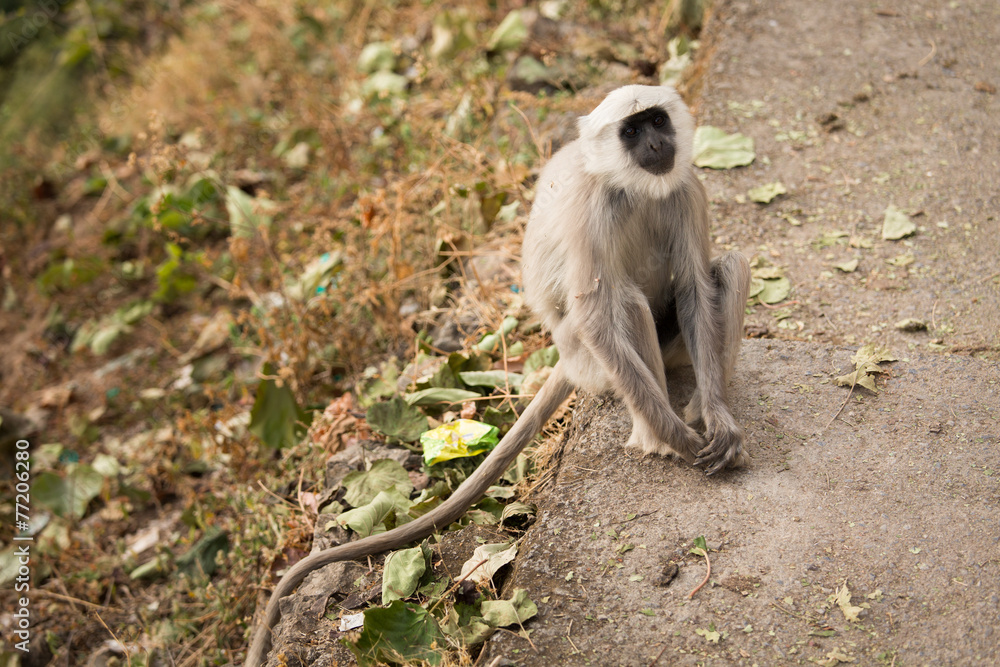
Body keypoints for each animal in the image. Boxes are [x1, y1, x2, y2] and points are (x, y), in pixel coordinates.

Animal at [244, 84, 748, 666]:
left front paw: (719, 422)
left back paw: (699, 405)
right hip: (586, 359)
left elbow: (694, 286)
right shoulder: (592, 205)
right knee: (620, 302)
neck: (634, 188)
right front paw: (676, 437)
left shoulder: (685, 186)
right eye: (631, 130)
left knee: (727, 267)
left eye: (657, 121)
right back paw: (656, 433)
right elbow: (597, 312)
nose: (652, 143)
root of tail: (563, 361)